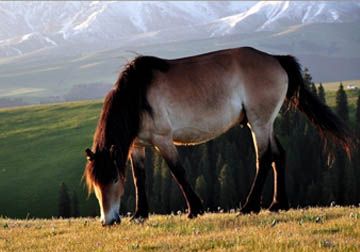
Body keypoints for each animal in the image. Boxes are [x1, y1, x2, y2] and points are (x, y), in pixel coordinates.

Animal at [83, 46, 352, 225]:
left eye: (113, 179)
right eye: (96, 183)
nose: (108, 221)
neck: (137, 95)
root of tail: (275, 59)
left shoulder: (163, 140)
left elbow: (178, 172)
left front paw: (195, 210)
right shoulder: (138, 145)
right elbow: (139, 178)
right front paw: (140, 214)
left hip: (259, 123)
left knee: (265, 158)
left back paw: (249, 207)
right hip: (262, 123)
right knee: (279, 155)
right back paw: (278, 205)